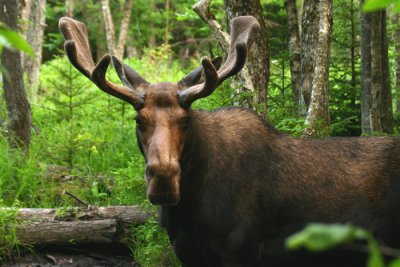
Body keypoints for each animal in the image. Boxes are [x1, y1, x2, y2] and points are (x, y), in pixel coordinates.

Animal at [59, 15, 400, 266]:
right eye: (138, 120)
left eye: (186, 119)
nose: (164, 179)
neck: (190, 208)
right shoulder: (189, 254)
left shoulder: (241, 251)